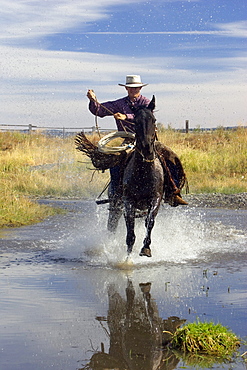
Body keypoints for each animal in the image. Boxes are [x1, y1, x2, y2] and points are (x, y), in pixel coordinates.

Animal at [107, 96, 164, 258]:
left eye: (154, 119)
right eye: (135, 121)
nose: (146, 147)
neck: (143, 173)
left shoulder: (155, 199)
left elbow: (150, 222)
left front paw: (146, 248)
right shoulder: (128, 201)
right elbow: (130, 231)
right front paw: (127, 256)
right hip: (115, 205)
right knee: (112, 225)